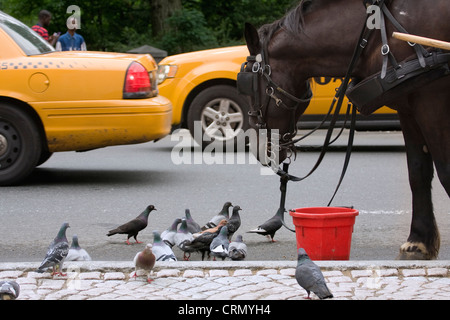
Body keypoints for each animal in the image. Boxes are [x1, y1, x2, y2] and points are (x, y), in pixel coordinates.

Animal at [243, 0, 450, 260]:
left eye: (246, 83)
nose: (256, 147)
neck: (376, 31)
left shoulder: (432, 99)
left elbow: (444, 170)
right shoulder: (409, 106)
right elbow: (418, 172)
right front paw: (419, 242)